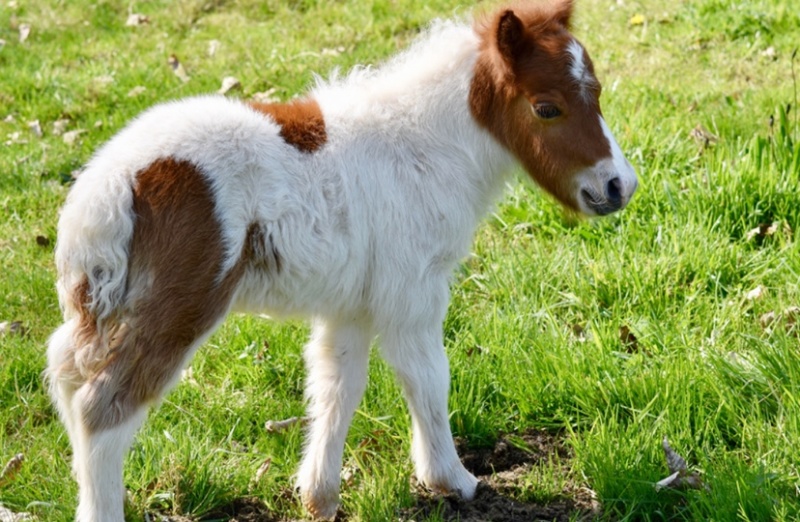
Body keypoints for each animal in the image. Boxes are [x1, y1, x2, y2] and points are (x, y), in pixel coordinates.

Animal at [46, 0, 637, 519]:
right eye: (546, 107)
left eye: (598, 93)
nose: (619, 186)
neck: (422, 147)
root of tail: (110, 188)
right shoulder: (413, 292)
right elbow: (427, 375)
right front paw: (452, 480)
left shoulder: (350, 305)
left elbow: (338, 386)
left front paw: (320, 497)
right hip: (178, 308)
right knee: (103, 407)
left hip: (102, 308)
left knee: (67, 376)